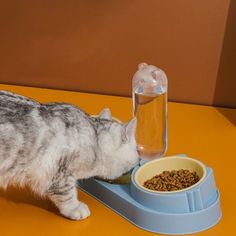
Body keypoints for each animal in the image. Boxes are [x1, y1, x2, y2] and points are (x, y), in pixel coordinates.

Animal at [0, 90, 138, 219]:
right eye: (137, 151)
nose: (139, 159)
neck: (95, 139)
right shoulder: (58, 172)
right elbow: (67, 193)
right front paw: (75, 208)